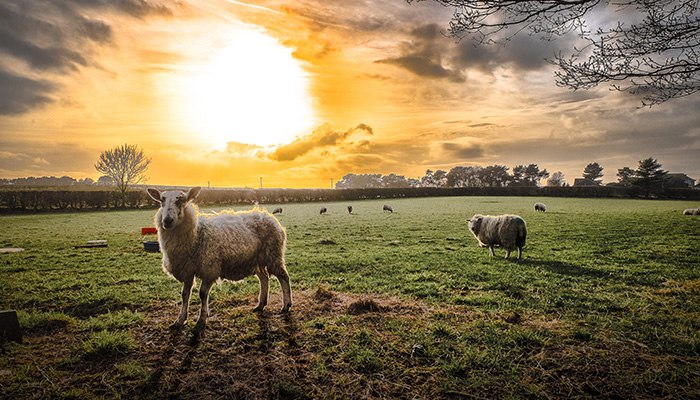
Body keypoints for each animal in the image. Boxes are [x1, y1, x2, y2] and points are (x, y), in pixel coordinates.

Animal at [147, 187, 292, 333]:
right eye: (161, 201)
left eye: (181, 200)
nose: (167, 221)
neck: (196, 233)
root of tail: (267, 215)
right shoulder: (187, 270)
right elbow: (185, 294)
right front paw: (179, 321)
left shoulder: (210, 268)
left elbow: (202, 294)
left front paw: (201, 321)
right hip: (256, 259)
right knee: (264, 278)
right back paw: (260, 305)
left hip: (273, 254)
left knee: (284, 277)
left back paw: (286, 305)